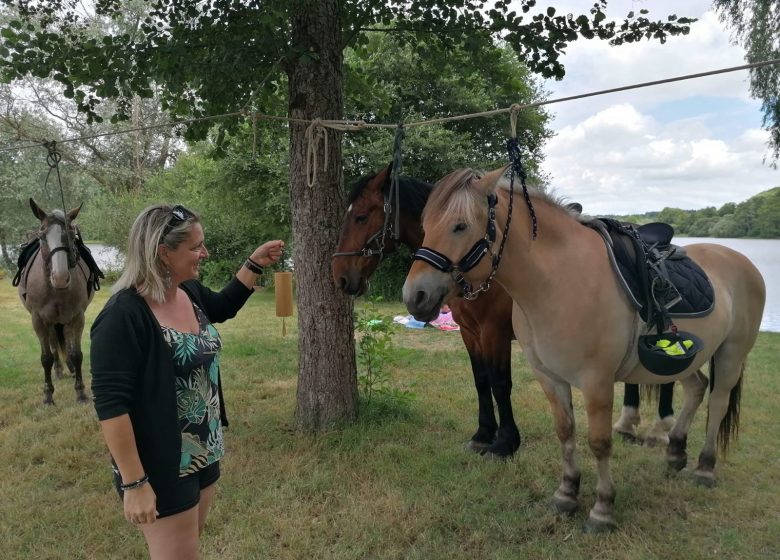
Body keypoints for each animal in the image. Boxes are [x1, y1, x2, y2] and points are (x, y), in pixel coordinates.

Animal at [406, 167, 764, 532]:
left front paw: (602, 509)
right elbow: (565, 432)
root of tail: (740, 260)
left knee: (718, 402)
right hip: (685, 360)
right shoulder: (549, 377)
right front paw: (566, 494)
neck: (558, 281)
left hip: (731, 354)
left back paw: (705, 467)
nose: (415, 296)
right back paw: (676, 452)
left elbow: (599, 442)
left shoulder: (597, 382)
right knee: (697, 388)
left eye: (460, 226)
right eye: (425, 224)